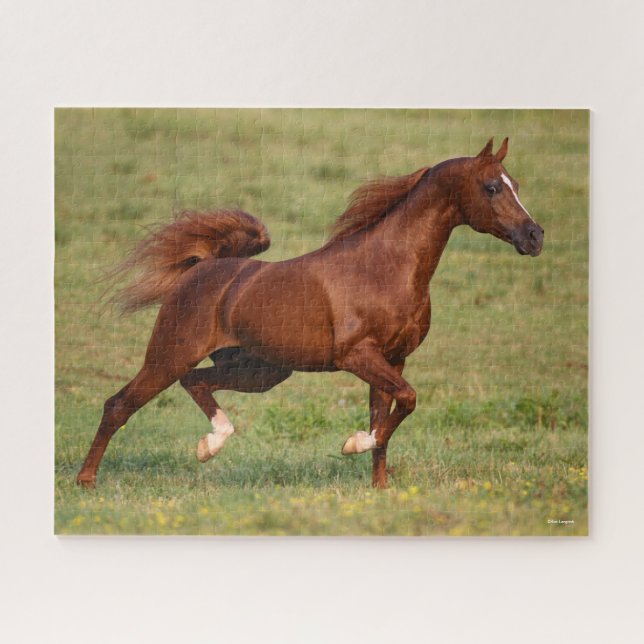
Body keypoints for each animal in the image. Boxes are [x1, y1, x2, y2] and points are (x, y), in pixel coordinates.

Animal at [76, 137, 544, 489]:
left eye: (516, 184)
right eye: (491, 187)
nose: (535, 236)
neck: (385, 268)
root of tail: (201, 269)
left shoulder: (393, 359)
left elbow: (387, 417)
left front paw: (379, 488)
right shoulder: (357, 356)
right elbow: (405, 402)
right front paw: (353, 444)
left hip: (261, 370)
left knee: (197, 382)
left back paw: (210, 446)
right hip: (171, 355)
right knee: (118, 404)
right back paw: (86, 481)